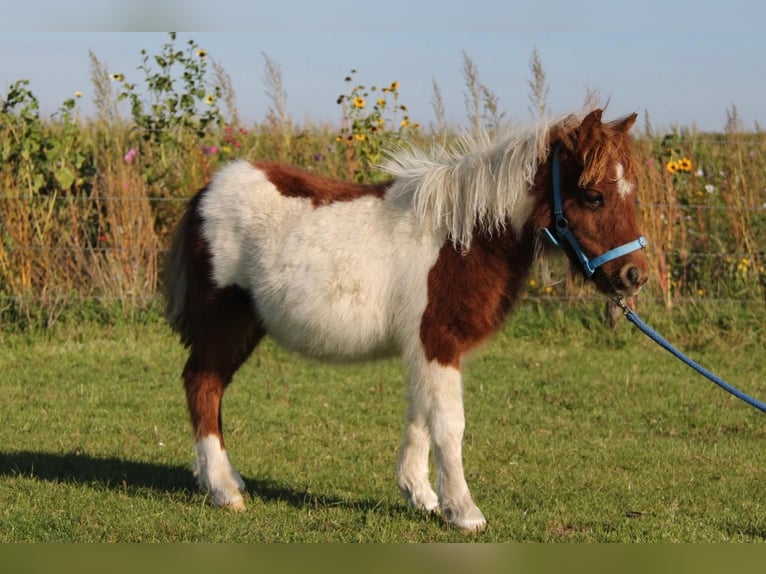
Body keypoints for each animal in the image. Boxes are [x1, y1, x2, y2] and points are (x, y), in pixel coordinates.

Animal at [165, 108, 652, 532]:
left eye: (631, 194)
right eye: (593, 196)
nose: (635, 275)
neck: (464, 239)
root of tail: (206, 192)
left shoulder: (424, 347)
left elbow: (421, 414)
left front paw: (420, 495)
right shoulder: (439, 341)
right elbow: (449, 424)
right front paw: (464, 511)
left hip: (246, 326)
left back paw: (226, 479)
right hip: (225, 322)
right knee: (203, 384)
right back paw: (224, 491)